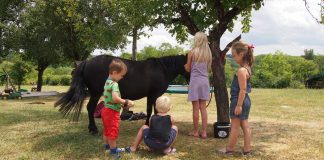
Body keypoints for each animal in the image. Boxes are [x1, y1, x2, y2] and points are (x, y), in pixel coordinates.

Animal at [54, 54, 189, 134]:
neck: (162, 69)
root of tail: (87, 61)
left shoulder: (151, 96)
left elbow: (150, 110)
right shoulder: (154, 95)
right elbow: (154, 111)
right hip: (96, 93)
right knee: (90, 108)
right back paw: (94, 129)